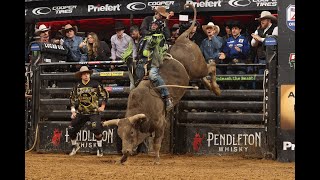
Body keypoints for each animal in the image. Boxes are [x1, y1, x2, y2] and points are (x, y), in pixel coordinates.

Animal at [102, 3, 220, 165]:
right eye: (119, 134)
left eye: (131, 132)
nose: (125, 151)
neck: (143, 105)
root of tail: (182, 39)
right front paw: (122, 158)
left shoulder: (160, 124)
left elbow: (157, 142)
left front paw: (156, 159)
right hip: (195, 73)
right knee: (205, 75)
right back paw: (210, 87)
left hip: (198, 67)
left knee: (212, 66)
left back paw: (216, 88)